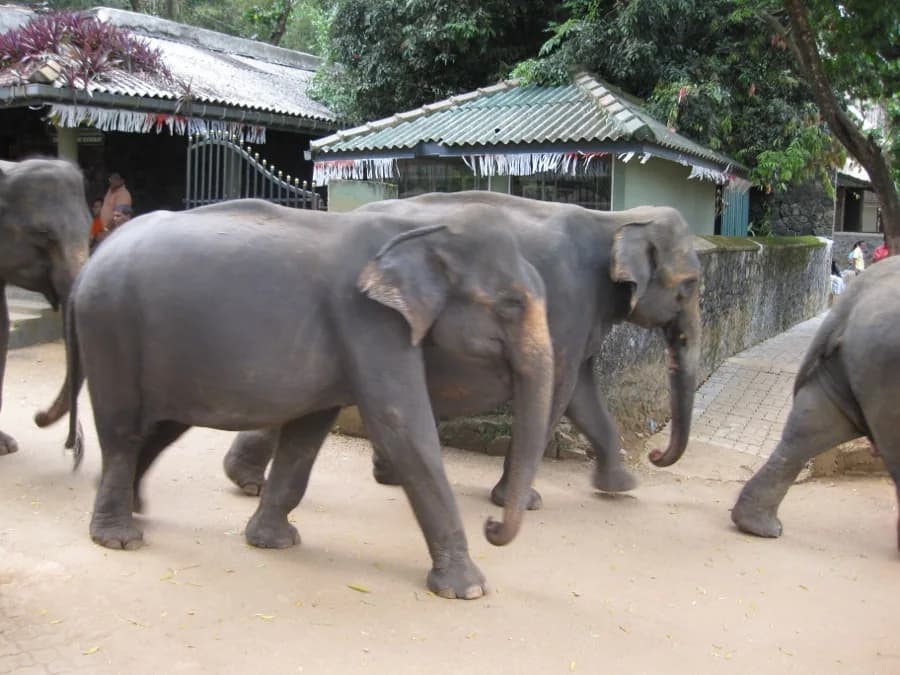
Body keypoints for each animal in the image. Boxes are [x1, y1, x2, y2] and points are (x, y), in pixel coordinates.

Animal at [59, 198, 555, 599]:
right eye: (511, 304)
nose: (492, 526)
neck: (421, 230)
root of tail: (89, 264)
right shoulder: (367, 319)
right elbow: (400, 425)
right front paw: (468, 589)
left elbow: (307, 433)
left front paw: (273, 542)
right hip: (111, 329)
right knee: (123, 430)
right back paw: (119, 538)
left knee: (161, 427)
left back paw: (136, 509)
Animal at [223, 190, 703, 508]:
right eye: (690, 285)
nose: (656, 455)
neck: (617, 219)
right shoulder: (569, 304)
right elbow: (561, 392)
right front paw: (521, 501)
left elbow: (582, 394)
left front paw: (620, 487)